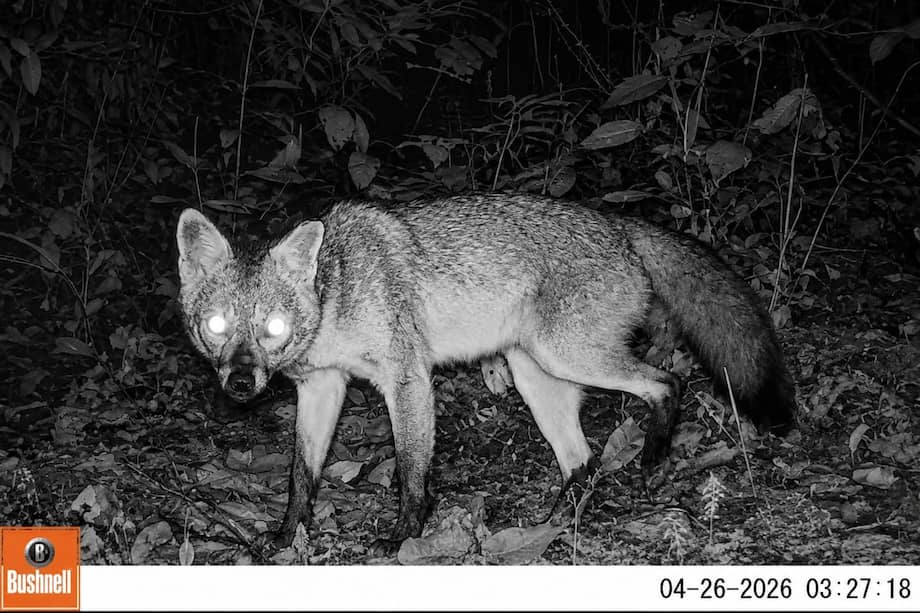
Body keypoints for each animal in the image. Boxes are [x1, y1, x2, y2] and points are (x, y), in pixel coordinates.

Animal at [175, 193, 796, 551]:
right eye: (217, 324)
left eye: (273, 327)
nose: (239, 383)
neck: (335, 300)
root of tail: (618, 224)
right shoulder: (320, 387)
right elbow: (302, 475)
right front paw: (286, 535)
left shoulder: (406, 376)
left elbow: (412, 468)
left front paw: (405, 536)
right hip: (534, 373)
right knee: (583, 460)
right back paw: (556, 522)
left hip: (566, 355)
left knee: (668, 383)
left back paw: (651, 458)